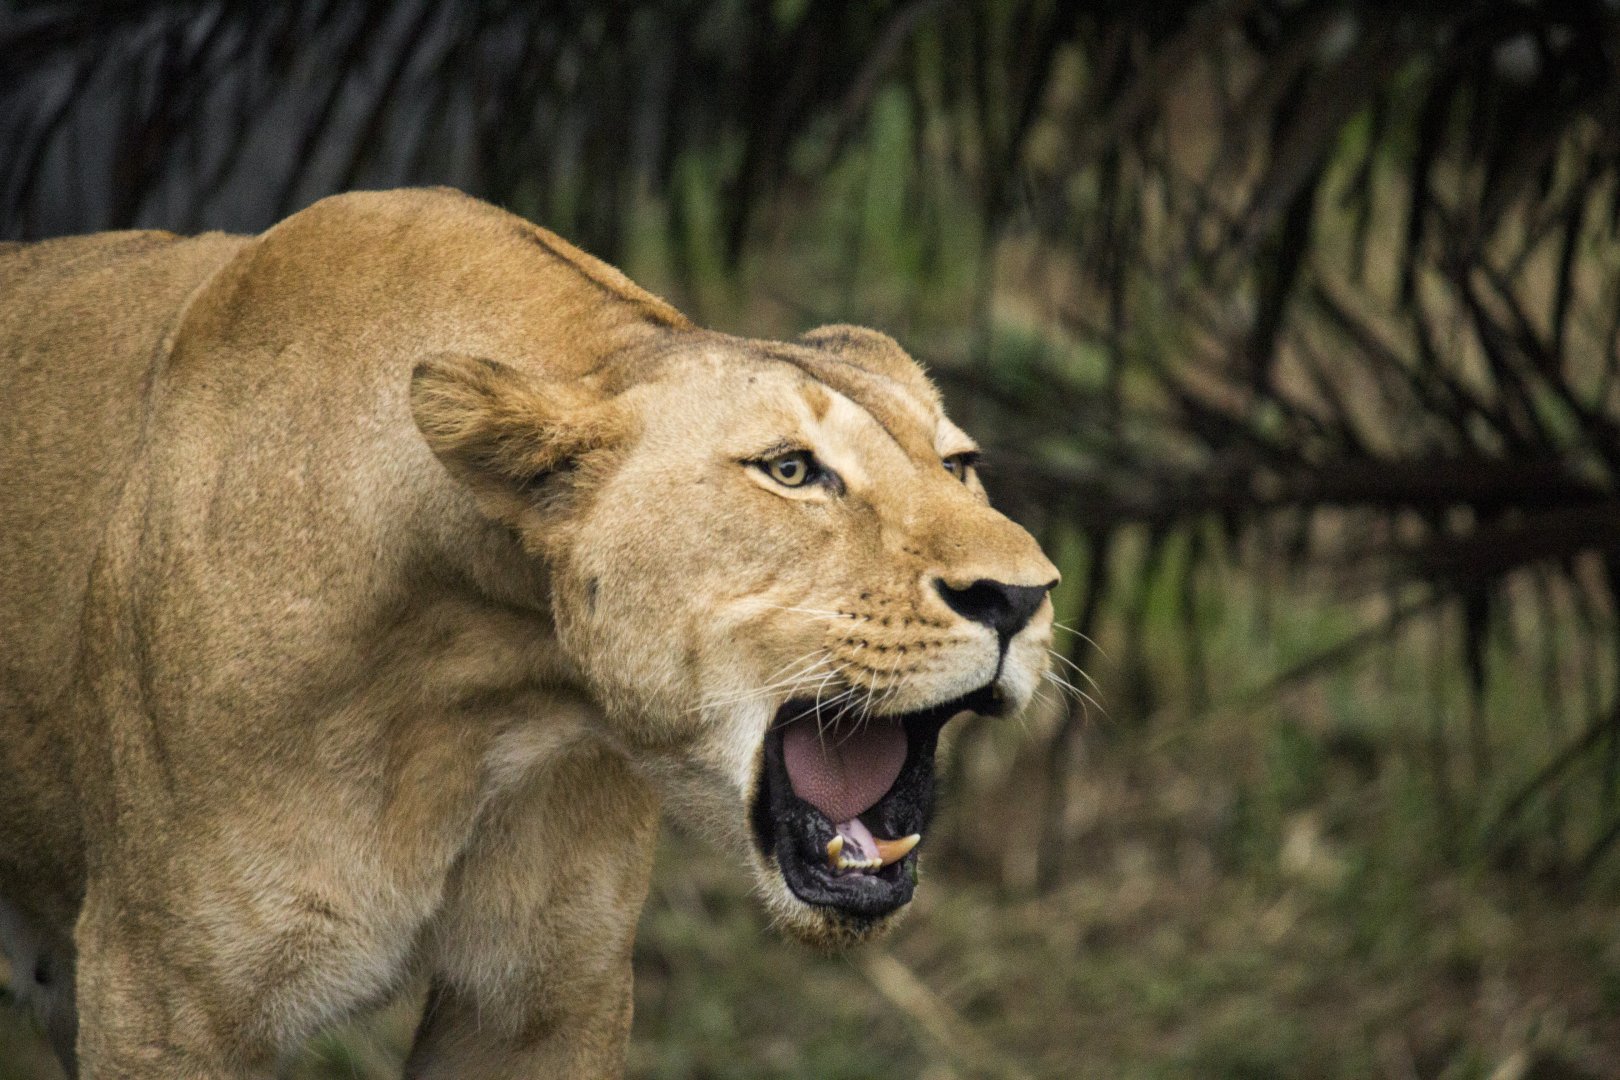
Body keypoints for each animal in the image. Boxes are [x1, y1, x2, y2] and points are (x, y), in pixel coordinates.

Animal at [0, 188, 1058, 1078]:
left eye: (957, 465)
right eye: (791, 470)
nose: (1023, 596)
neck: (484, 694)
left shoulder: (547, 994)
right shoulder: (160, 994)